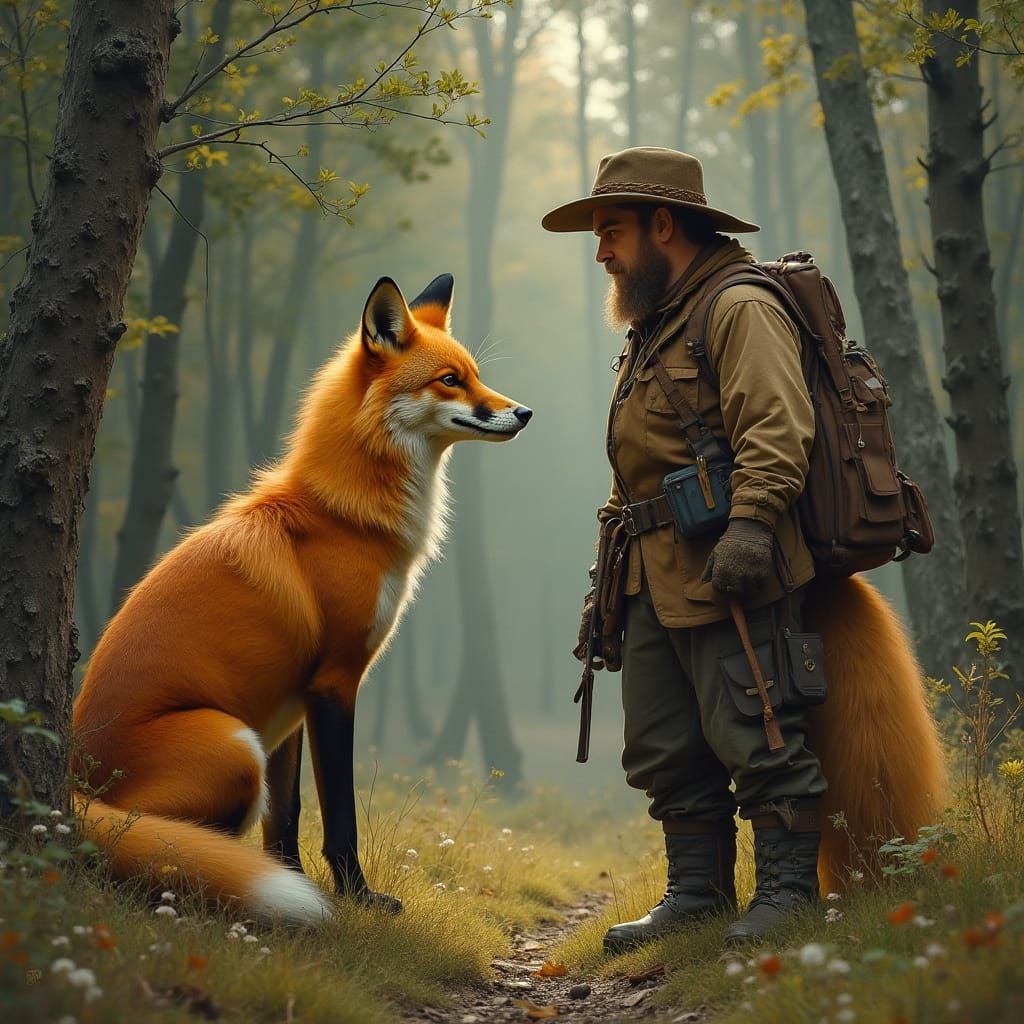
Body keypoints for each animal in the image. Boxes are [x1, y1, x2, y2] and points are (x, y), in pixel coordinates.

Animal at [73, 274, 532, 924]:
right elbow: (339, 817)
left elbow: (284, 820)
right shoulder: (335, 681)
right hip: (234, 744)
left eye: (473, 374)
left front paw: (296, 886)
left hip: (254, 739)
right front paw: (357, 897)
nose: (524, 412)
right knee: (161, 847)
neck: (344, 516)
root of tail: (74, 792)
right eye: (449, 380)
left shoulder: (289, 704)